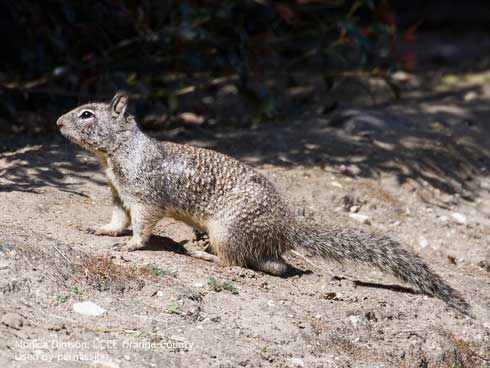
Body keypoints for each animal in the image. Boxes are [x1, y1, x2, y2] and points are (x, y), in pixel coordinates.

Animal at [56, 91, 470, 314]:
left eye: (87, 114)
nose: (58, 122)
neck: (117, 155)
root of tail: (288, 228)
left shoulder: (144, 196)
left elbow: (142, 224)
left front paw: (132, 245)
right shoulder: (118, 194)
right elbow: (116, 219)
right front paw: (102, 230)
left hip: (227, 229)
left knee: (235, 261)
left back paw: (202, 254)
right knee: (275, 266)